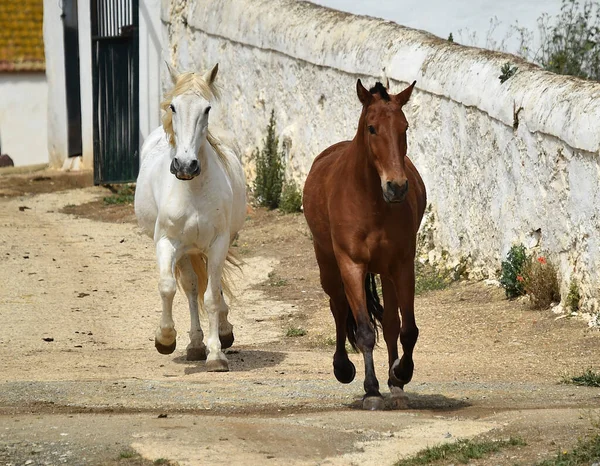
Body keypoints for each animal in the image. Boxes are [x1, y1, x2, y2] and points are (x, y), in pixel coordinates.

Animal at [135, 64, 246, 372]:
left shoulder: (219, 244)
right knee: (190, 287)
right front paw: (165, 338)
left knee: (208, 288)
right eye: (173, 106)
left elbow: (212, 297)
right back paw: (195, 344)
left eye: (206, 109)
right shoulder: (166, 243)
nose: (185, 165)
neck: (193, 190)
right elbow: (168, 287)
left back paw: (219, 335)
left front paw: (216, 354)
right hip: (185, 251)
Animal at [304, 78, 426, 410]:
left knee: (391, 322)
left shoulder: (401, 265)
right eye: (372, 128)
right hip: (328, 265)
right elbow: (363, 330)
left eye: (404, 127)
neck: (371, 201)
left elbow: (407, 329)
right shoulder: (352, 265)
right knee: (338, 306)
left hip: (385, 271)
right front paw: (371, 390)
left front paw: (400, 374)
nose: (397, 187)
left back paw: (395, 383)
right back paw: (343, 368)